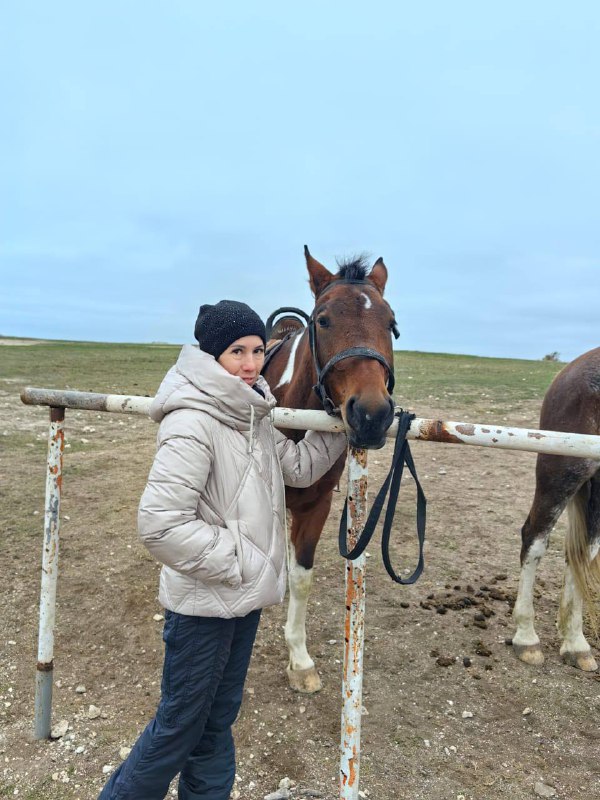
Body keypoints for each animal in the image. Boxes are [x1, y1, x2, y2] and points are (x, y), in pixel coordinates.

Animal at [264, 247, 398, 692]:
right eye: (322, 320)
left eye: (391, 324)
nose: (372, 414)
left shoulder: (316, 506)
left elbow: (301, 576)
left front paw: (299, 659)